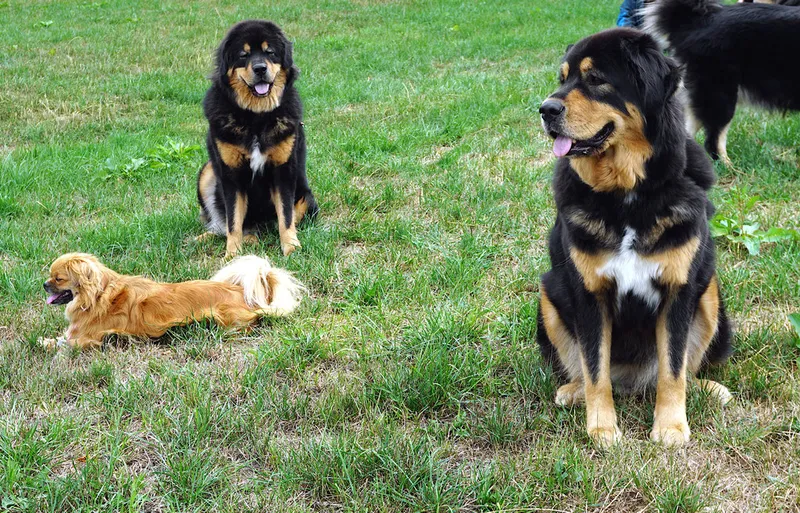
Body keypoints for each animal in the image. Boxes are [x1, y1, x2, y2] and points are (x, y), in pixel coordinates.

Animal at [42, 253, 304, 349]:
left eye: (58, 278)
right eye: (50, 276)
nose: (44, 284)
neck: (98, 294)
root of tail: (242, 293)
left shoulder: (86, 339)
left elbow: (63, 343)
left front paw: (46, 343)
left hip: (227, 321)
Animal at [197, 20, 317, 258]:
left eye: (270, 52)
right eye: (243, 55)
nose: (260, 68)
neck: (256, 117)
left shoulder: (284, 172)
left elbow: (286, 216)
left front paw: (291, 247)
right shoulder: (230, 175)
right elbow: (233, 221)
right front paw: (232, 254)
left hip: (307, 199)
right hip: (207, 172)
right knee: (222, 225)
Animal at [537, 28, 732, 446]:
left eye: (595, 79)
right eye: (563, 79)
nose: (545, 110)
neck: (626, 194)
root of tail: (632, 382)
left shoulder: (679, 289)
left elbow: (673, 369)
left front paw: (671, 427)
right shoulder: (589, 294)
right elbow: (595, 369)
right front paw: (601, 428)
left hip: (709, 290)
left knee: (682, 371)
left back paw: (709, 389)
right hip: (548, 291)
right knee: (587, 371)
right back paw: (572, 391)